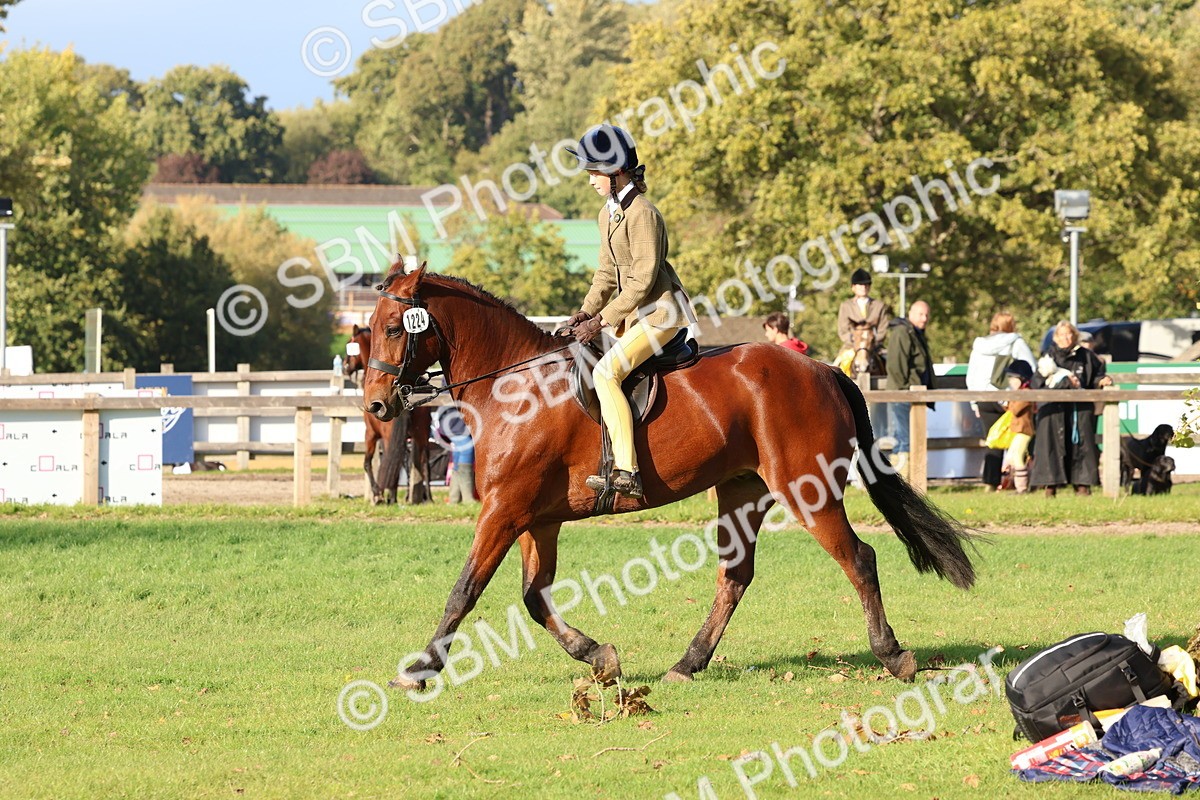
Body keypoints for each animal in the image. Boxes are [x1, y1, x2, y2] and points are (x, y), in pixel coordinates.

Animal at [363, 264, 978, 691]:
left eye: (395, 328)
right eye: (367, 330)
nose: (375, 406)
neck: (515, 387)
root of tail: (824, 369)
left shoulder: (503, 510)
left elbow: (463, 592)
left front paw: (418, 670)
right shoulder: (536, 520)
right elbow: (535, 598)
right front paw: (600, 658)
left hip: (809, 491)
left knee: (859, 559)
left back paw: (893, 655)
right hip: (742, 491)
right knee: (735, 575)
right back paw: (688, 663)